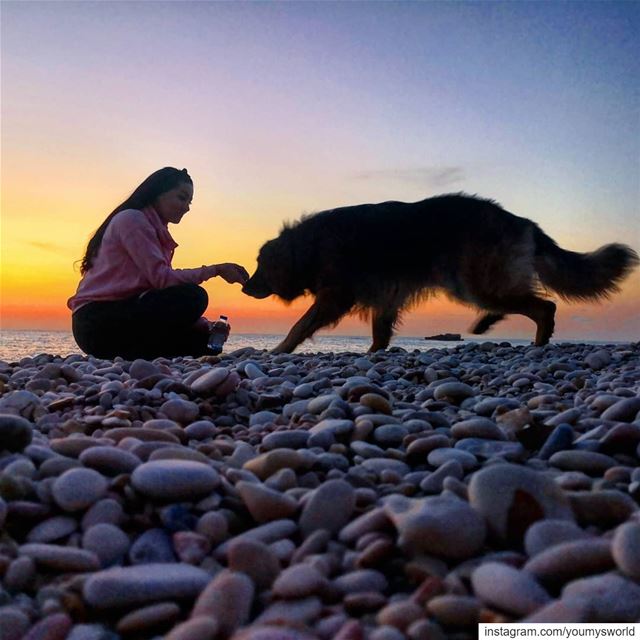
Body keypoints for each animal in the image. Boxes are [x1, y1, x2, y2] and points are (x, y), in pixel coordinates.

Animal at [242, 195, 636, 356]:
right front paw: (374, 352)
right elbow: (380, 332)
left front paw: (279, 348)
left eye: (261, 267)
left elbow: (300, 324)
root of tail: (522, 220)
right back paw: (489, 324)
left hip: (472, 281)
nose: (245, 288)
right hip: (478, 282)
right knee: (522, 302)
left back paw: (537, 342)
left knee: (543, 307)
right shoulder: (386, 295)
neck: (309, 243)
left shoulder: (336, 295)